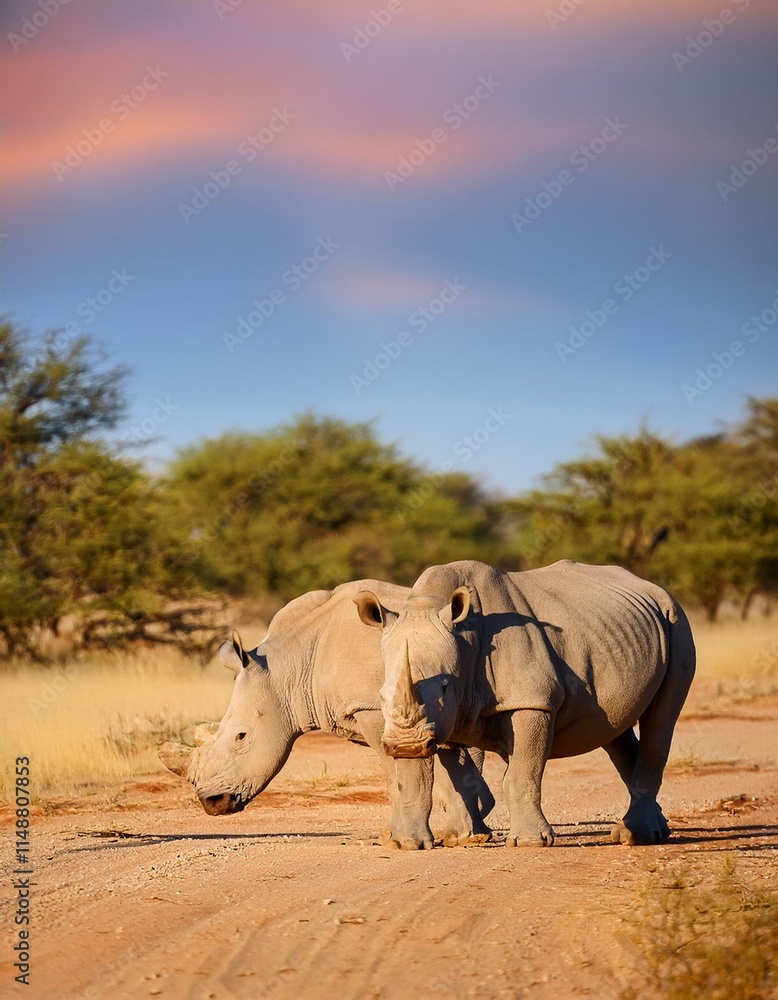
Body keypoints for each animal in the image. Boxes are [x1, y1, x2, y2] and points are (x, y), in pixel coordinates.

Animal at [159, 579, 494, 850]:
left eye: (241, 736)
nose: (212, 804)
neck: (290, 669)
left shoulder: (374, 708)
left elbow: (395, 773)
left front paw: (399, 838)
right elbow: (442, 762)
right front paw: (466, 831)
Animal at [355, 559, 696, 847]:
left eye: (445, 687)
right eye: (381, 696)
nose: (407, 744)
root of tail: (652, 587)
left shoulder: (532, 700)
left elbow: (522, 771)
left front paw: (530, 842)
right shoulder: (430, 722)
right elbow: (419, 778)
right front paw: (407, 844)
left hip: (677, 620)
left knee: (660, 721)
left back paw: (636, 836)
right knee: (613, 727)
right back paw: (655, 831)